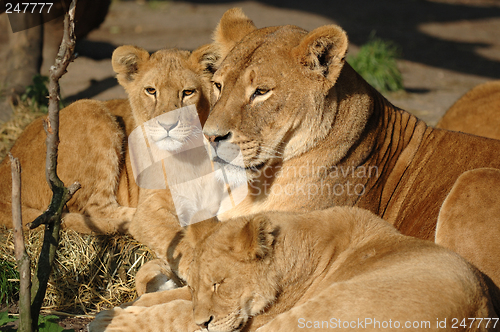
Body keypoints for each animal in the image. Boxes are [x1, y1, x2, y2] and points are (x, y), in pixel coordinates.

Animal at [90, 206, 500, 330]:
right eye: (197, 286)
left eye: (220, 284)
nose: (204, 323)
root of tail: (476, 315)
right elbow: (169, 299)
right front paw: (123, 307)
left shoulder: (256, 318)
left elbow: (174, 312)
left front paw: (110, 319)